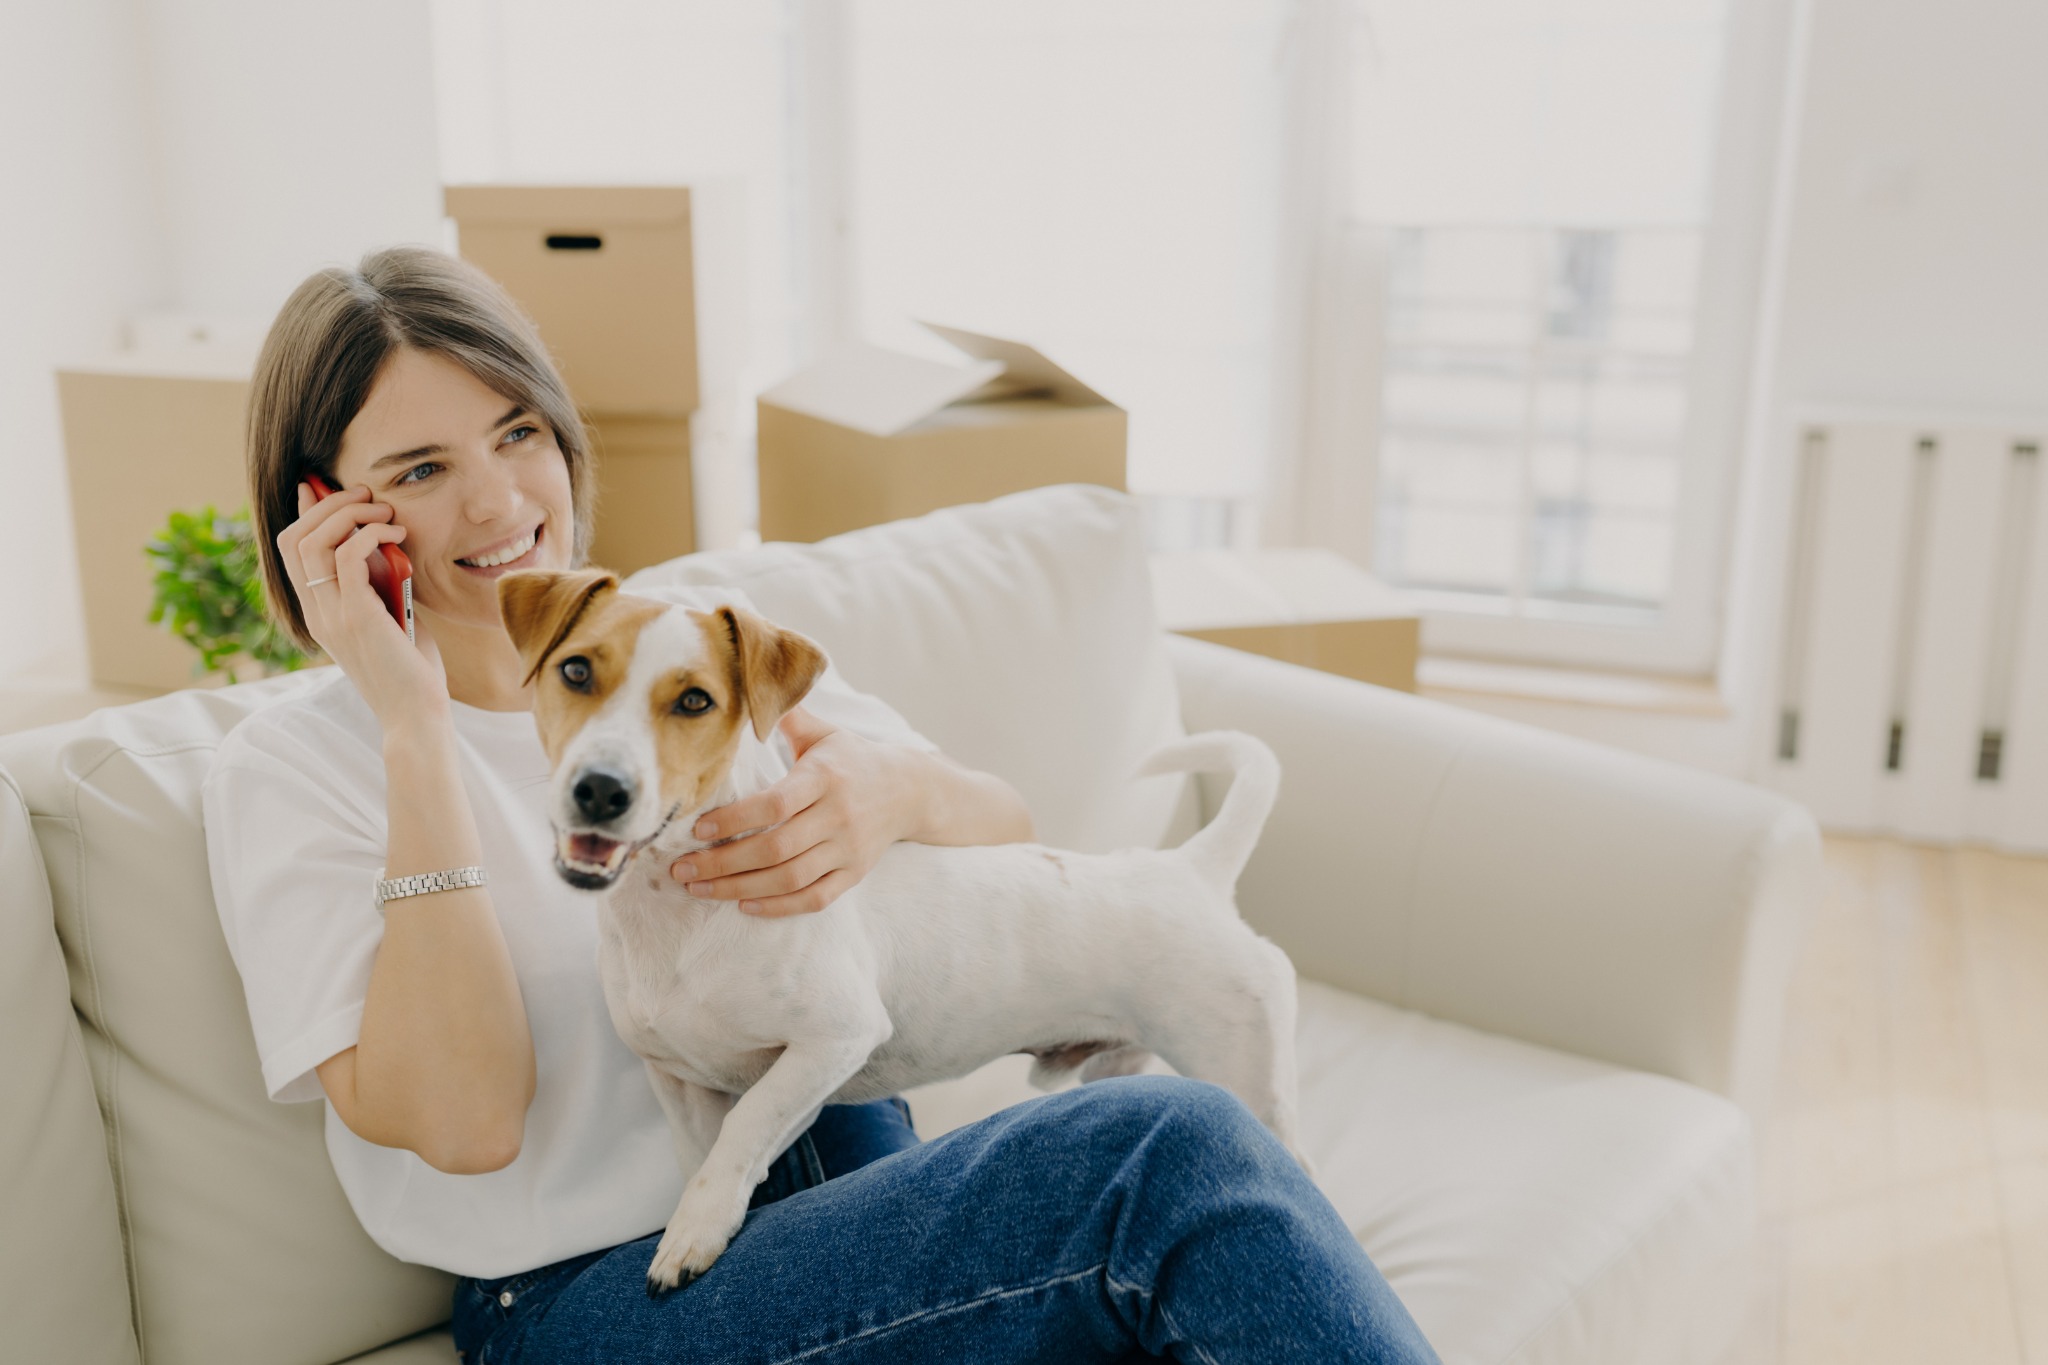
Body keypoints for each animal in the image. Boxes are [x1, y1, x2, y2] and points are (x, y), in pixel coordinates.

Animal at [491, 573, 1294, 1301]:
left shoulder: (836, 1037)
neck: (678, 919)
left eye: (695, 701)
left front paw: (696, 1229)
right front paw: (702, 1210)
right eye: (576, 670)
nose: (600, 789)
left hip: (1243, 1074)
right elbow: (704, 1150)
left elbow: (745, 1124)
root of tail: (1192, 868)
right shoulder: (678, 1079)